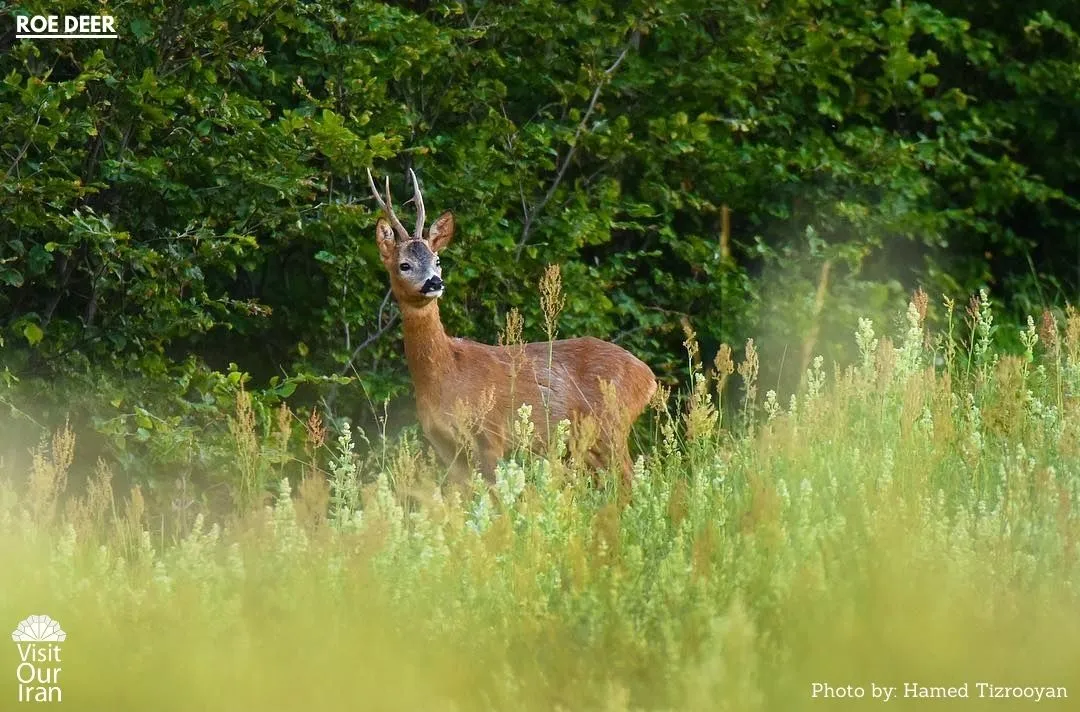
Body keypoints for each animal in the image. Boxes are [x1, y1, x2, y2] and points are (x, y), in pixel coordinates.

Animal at [369, 169, 656, 488]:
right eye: (404, 265)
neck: (447, 377)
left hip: (611, 426)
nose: (435, 282)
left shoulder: (491, 434)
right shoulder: (445, 445)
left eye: (438, 259)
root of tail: (648, 377)